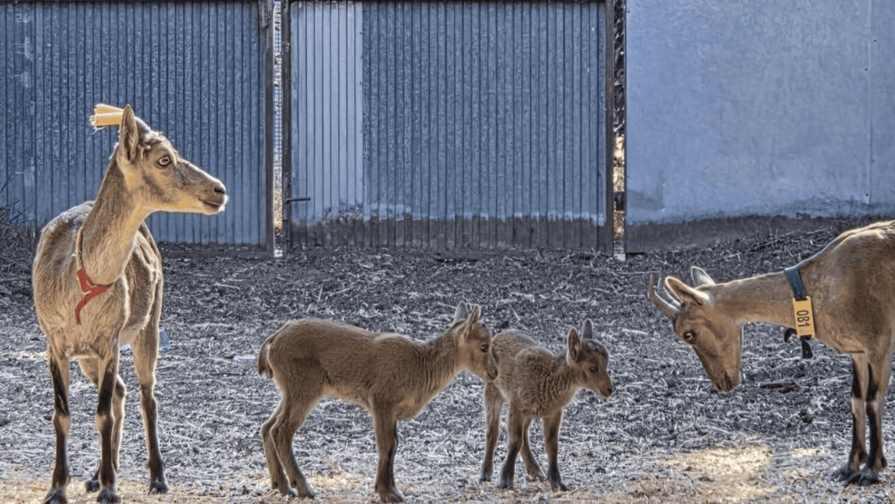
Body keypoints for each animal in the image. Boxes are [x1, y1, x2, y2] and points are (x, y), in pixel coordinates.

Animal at [32, 104, 227, 504]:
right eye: (164, 158)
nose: (220, 189)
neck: (80, 283)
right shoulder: (54, 341)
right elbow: (62, 414)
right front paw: (58, 488)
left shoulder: (110, 338)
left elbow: (102, 413)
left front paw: (110, 489)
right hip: (88, 356)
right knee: (121, 392)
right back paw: (96, 475)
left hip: (149, 324)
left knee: (145, 395)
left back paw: (154, 476)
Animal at [256, 302, 499, 503]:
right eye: (484, 346)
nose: (494, 372)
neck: (419, 368)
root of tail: (272, 342)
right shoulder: (381, 401)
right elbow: (386, 445)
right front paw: (388, 493)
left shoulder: (392, 412)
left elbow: (393, 445)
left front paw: (389, 489)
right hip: (304, 388)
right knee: (281, 430)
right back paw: (304, 488)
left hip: (289, 390)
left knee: (267, 426)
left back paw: (282, 486)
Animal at [479, 320, 613, 491]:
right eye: (593, 368)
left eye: (606, 365)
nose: (609, 389)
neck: (549, 377)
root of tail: (497, 336)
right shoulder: (517, 406)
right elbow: (514, 441)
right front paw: (505, 480)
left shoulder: (554, 412)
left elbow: (551, 445)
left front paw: (557, 482)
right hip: (492, 389)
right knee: (492, 431)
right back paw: (486, 474)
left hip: (530, 411)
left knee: (525, 435)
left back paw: (536, 471)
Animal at [648, 220, 895, 486]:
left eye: (687, 334)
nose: (723, 383)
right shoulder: (858, 352)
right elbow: (856, 401)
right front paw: (850, 467)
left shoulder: (879, 341)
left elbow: (872, 401)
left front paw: (871, 470)